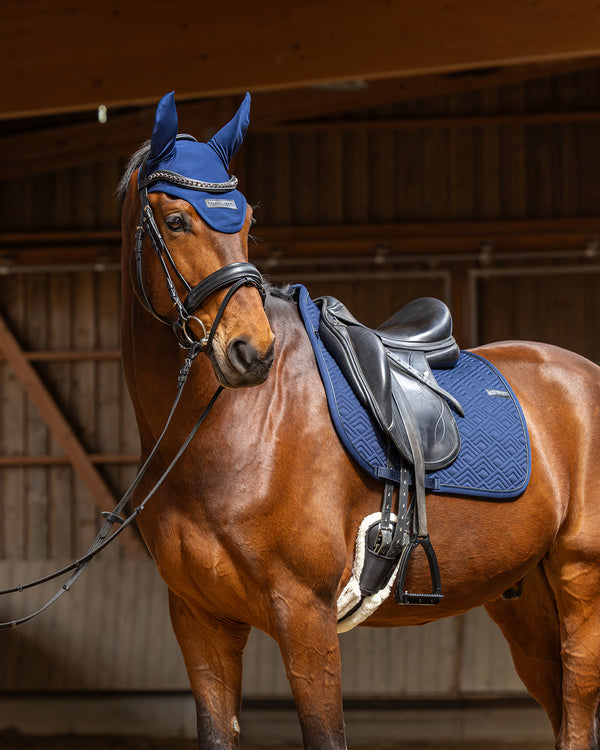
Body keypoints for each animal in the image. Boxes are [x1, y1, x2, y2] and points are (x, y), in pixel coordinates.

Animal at [118, 92, 600, 750]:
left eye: (244, 221)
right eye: (175, 221)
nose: (251, 351)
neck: (235, 436)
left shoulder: (305, 614)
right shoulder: (200, 621)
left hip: (583, 585)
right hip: (525, 601)